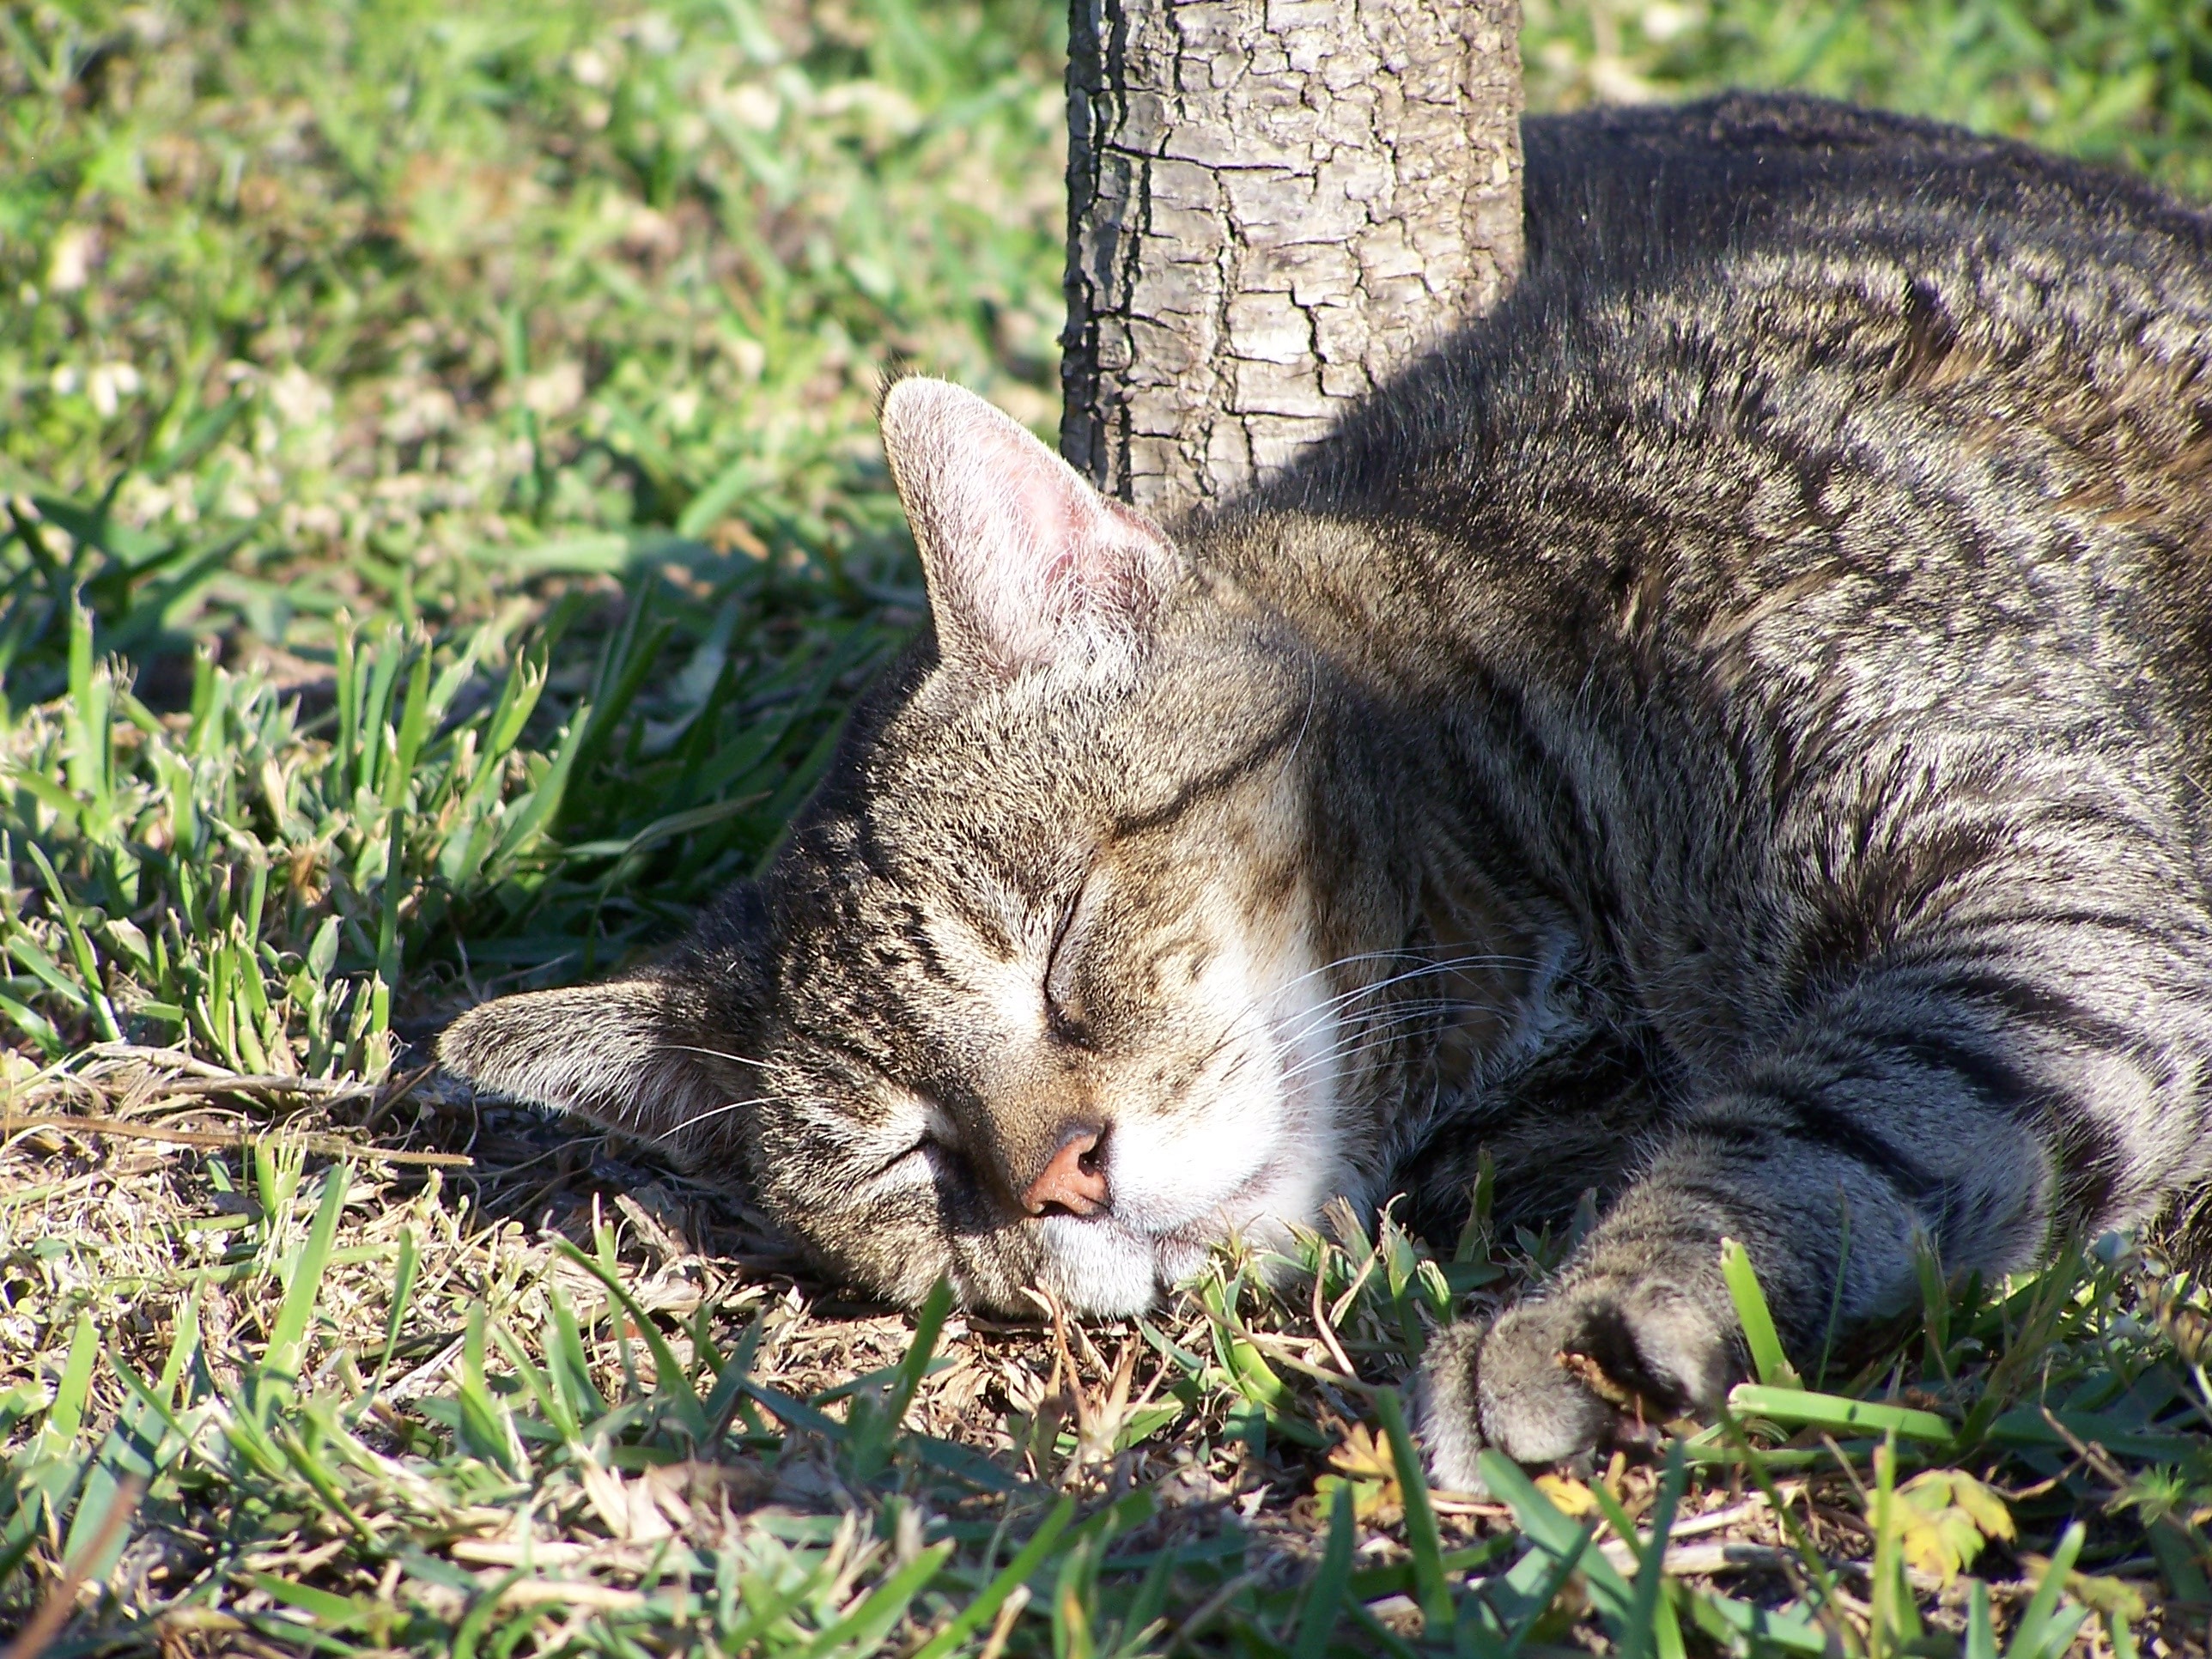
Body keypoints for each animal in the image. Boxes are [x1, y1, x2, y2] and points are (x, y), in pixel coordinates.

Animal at [440, 97, 2212, 1486]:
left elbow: (1820, 1117)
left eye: (1062, 945)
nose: (1059, 1175)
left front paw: (1588, 1319)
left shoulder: (2035, 883)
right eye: (914, 1161)